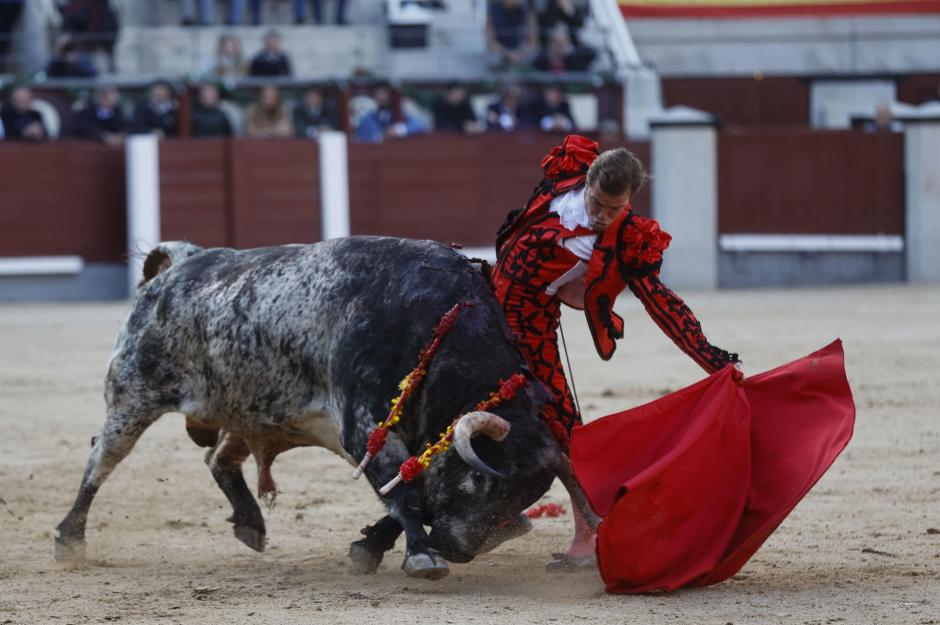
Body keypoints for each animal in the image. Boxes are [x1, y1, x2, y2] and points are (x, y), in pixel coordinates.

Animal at [53, 236, 596, 576]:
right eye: (478, 483)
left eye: (523, 499)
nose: (457, 549)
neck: (437, 323)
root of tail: (183, 263)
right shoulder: (366, 426)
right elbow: (405, 493)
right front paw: (420, 557)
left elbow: (410, 493)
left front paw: (371, 548)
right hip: (133, 396)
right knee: (101, 460)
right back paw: (69, 540)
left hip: (249, 409)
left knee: (218, 458)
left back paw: (250, 523)